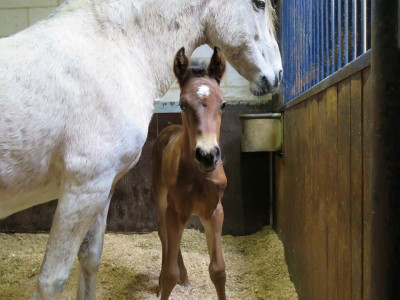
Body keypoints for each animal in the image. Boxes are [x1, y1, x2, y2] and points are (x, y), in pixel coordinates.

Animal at [152, 47, 228, 300]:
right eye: (183, 104)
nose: (207, 155)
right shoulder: (175, 211)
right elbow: (169, 275)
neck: (198, 177)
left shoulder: (214, 212)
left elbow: (218, 270)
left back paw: (185, 279)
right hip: (161, 198)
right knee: (163, 233)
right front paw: (164, 283)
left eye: (223, 104)